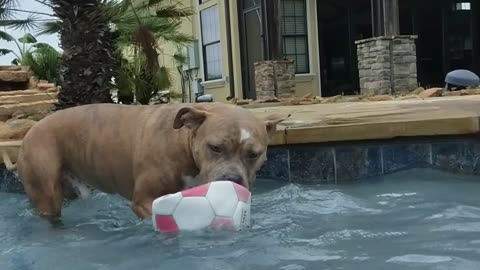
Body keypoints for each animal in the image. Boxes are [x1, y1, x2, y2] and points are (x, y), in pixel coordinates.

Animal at [16, 102, 284, 223]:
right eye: (215, 147)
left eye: (253, 154)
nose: (232, 179)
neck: (182, 143)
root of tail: (31, 129)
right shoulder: (144, 200)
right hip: (47, 191)